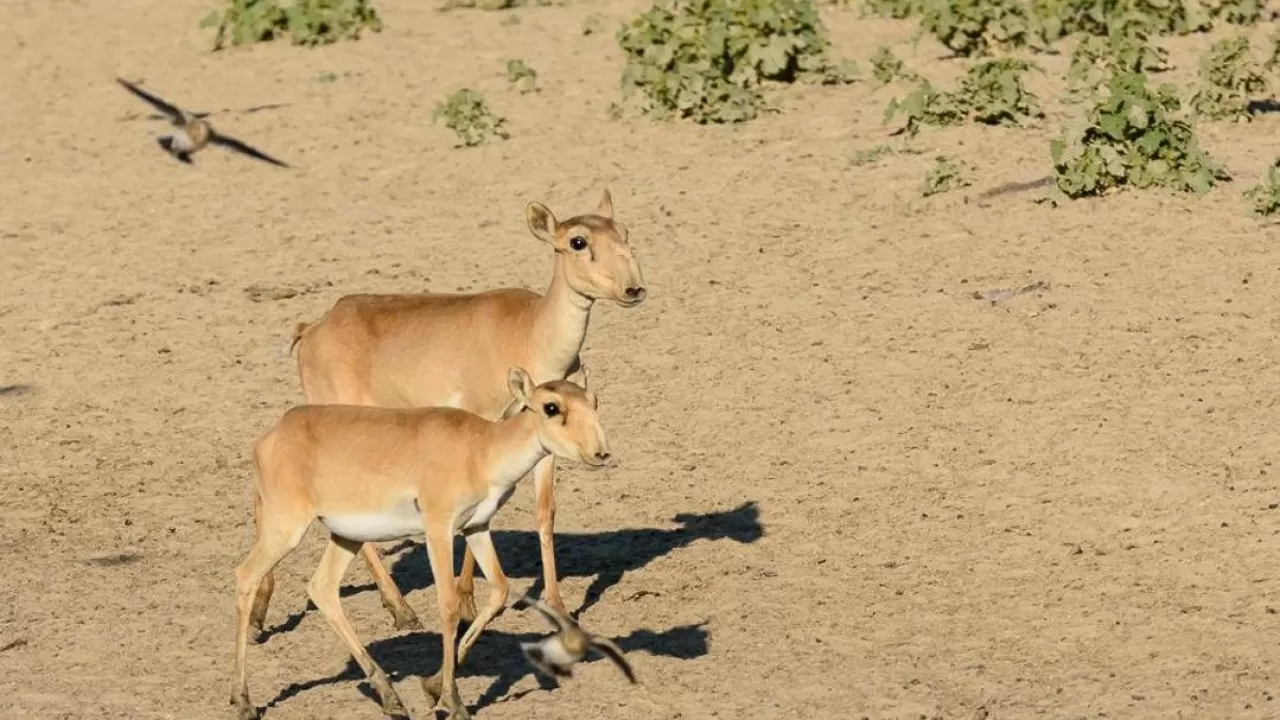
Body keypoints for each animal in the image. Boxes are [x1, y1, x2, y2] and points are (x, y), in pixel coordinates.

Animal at [234, 368, 614, 717]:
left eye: (594, 401)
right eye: (551, 407)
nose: (601, 453)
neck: (480, 449)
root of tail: (273, 435)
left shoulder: (477, 527)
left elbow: (500, 591)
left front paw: (432, 685)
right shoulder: (438, 529)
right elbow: (448, 604)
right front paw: (453, 701)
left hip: (346, 537)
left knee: (322, 588)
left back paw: (391, 698)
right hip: (286, 529)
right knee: (246, 576)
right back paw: (243, 702)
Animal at [254, 189, 645, 627]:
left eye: (624, 231)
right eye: (578, 241)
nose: (634, 288)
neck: (530, 331)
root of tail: (312, 328)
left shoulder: (542, 439)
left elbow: (545, 511)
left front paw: (559, 608)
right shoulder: (485, 423)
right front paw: (466, 602)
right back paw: (400, 610)